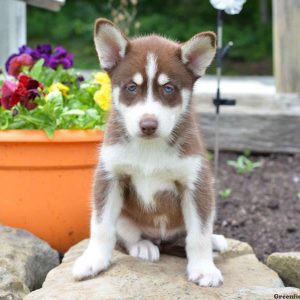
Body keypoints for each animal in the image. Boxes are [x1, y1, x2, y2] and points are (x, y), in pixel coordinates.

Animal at [72, 17, 227, 288]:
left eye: (169, 89)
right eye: (132, 87)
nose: (148, 125)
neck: (148, 149)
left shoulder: (196, 183)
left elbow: (198, 234)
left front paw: (204, 268)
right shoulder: (109, 177)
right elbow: (100, 227)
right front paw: (92, 261)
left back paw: (215, 241)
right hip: (125, 216)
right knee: (128, 235)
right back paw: (143, 246)